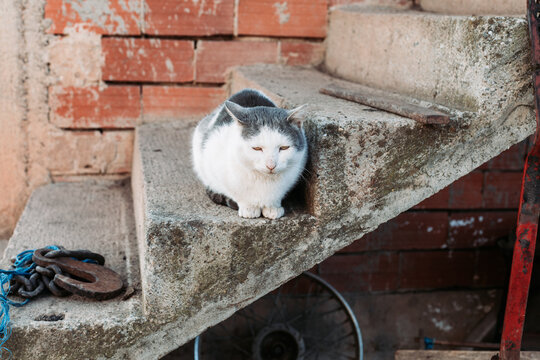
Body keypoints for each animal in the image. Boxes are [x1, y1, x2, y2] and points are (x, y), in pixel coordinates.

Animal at [192, 89, 306, 219]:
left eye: (284, 148)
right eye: (257, 148)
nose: (271, 165)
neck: (264, 181)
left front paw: (273, 207)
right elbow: (236, 193)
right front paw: (249, 208)